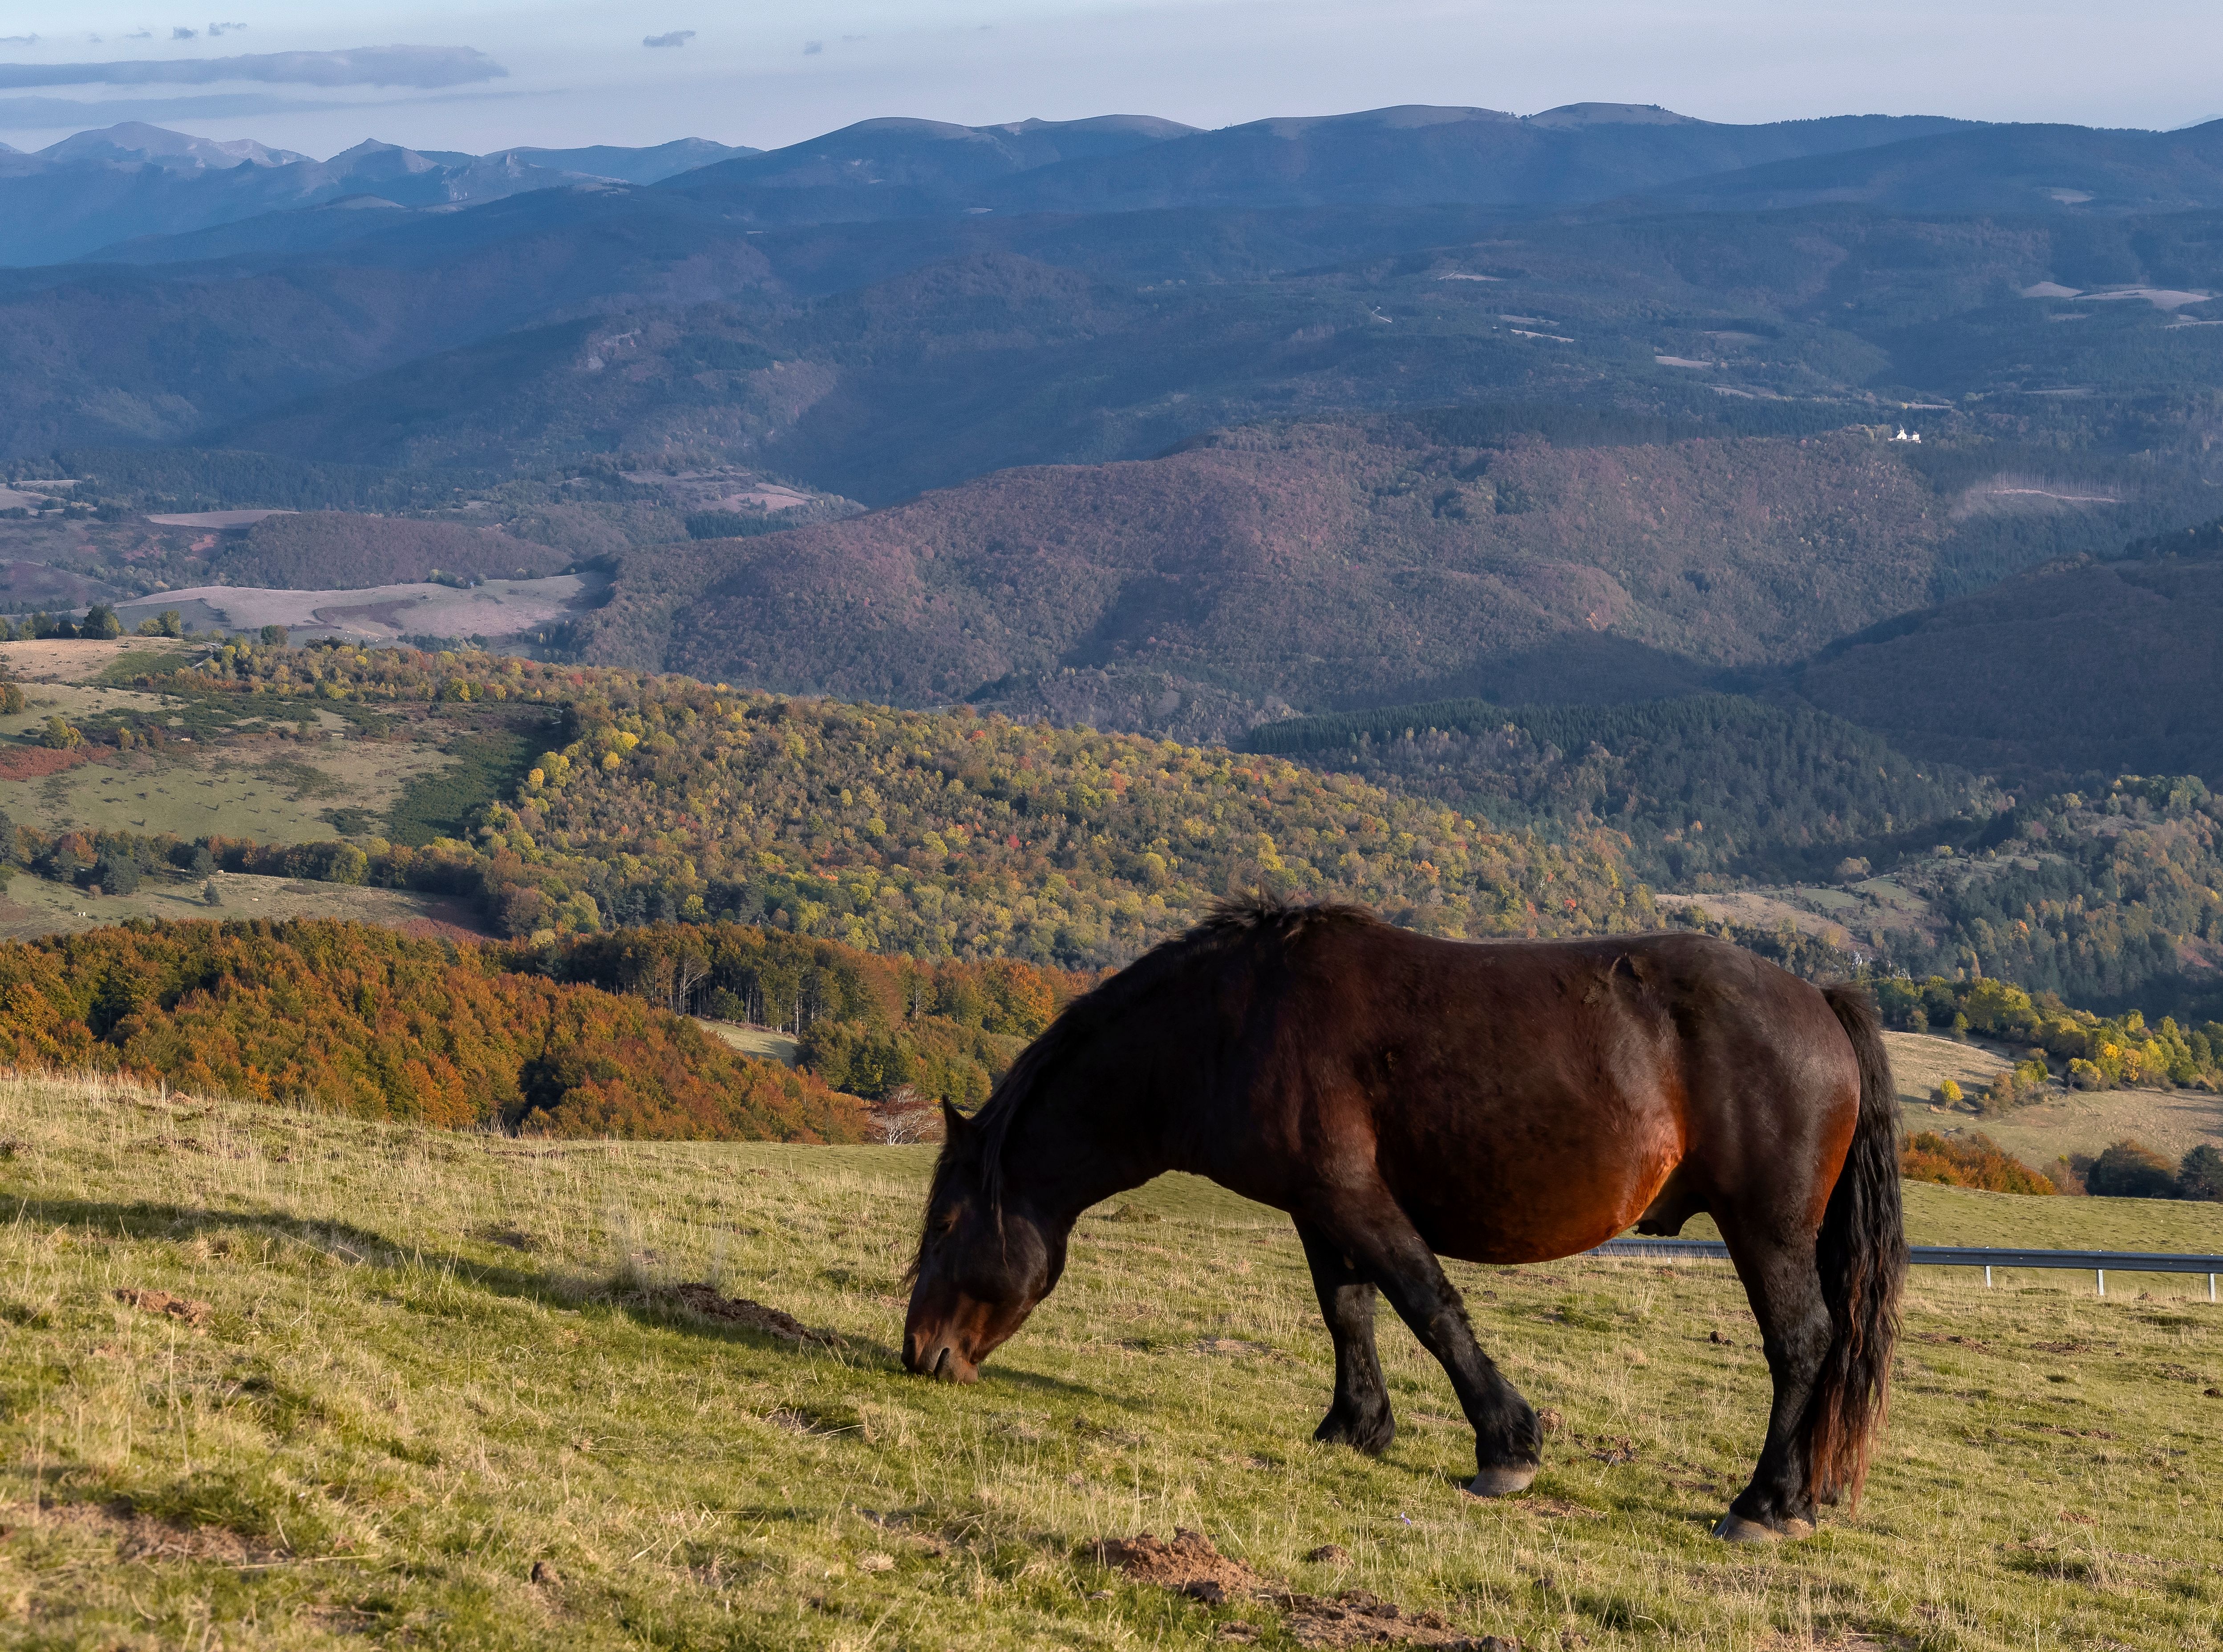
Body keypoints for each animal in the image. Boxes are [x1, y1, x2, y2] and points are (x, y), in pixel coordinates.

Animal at [903, 897, 1906, 1541]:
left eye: (947, 1223)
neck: (1231, 1024)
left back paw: (1763, 1504)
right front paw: (1354, 1427)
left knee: (1801, 1343)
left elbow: (1430, 1307)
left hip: (1765, 1231)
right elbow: (1348, 1311)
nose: (921, 1353)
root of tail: (1819, 998)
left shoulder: (1355, 1197)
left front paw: (1507, 1446)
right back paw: (1794, 1498)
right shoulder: (1318, 1208)